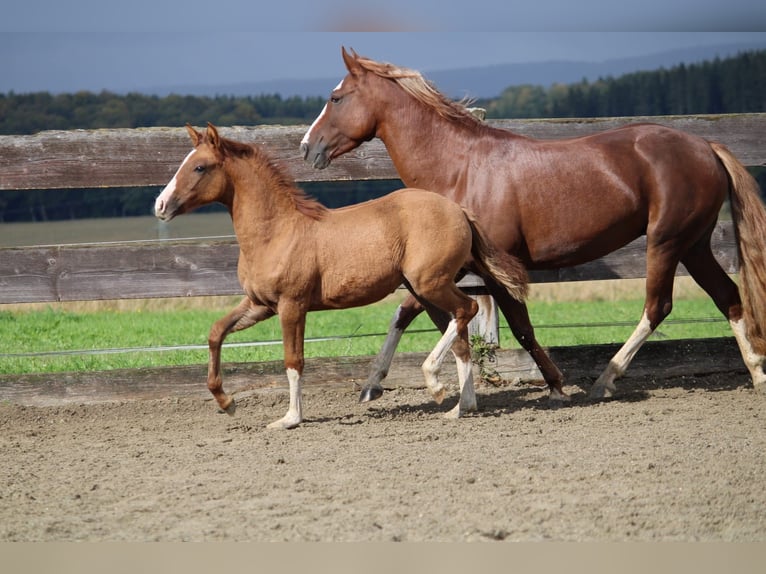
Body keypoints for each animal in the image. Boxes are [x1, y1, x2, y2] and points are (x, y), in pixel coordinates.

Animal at [154, 127, 532, 432]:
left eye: (200, 167)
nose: (159, 205)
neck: (276, 232)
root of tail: (459, 210)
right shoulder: (260, 305)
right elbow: (216, 332)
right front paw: (226, 402)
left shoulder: (292, 305)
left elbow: (293, 360)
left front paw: (289, 419)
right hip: (427, 290)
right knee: (461, 337)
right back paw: (460, 407)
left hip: (431, 284)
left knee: (467, 310)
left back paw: (436, 386)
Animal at [304, 47, 766, 402]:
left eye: (336, 97)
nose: (309, 148)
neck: (459, 168)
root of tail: (705, 145)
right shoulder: (445, 267)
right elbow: (403, 313)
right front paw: (371, 385)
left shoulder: (495, 269)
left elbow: (521, 328)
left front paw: (557, 385)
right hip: (694, 244)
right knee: (728, 296)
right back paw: (757, 373)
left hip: (666, 242)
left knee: (658, 306)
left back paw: (605, 380)